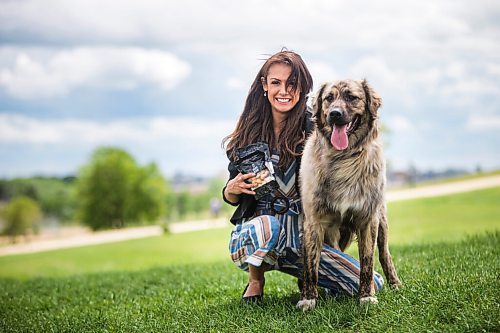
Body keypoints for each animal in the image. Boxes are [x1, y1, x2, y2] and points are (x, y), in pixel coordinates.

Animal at [296, 79, 402, 310]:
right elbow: (310, 267)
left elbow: (367, 262)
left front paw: (367, 296)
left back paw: (395, 283)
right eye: (328, 98)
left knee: (384, 254)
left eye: (352, 97)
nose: (334, 114)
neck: (344, 158)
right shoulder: (315, 222)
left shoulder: (368, 219)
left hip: (381, 221)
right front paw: (308, 298)